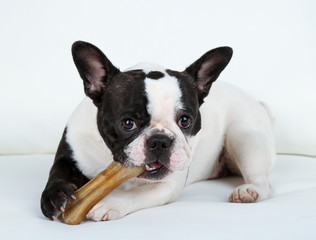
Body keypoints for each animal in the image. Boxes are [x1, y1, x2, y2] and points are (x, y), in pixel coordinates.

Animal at [41, 40, 274, 221]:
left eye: (185, 120)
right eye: (128, 123)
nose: (160, 141)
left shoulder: (167, 185)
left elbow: (137, 193)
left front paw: (108, 203)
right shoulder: (71, 151)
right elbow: (56, 171)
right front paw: (54, 195)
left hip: (244, 136)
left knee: (264, 184)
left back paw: (249, 191)